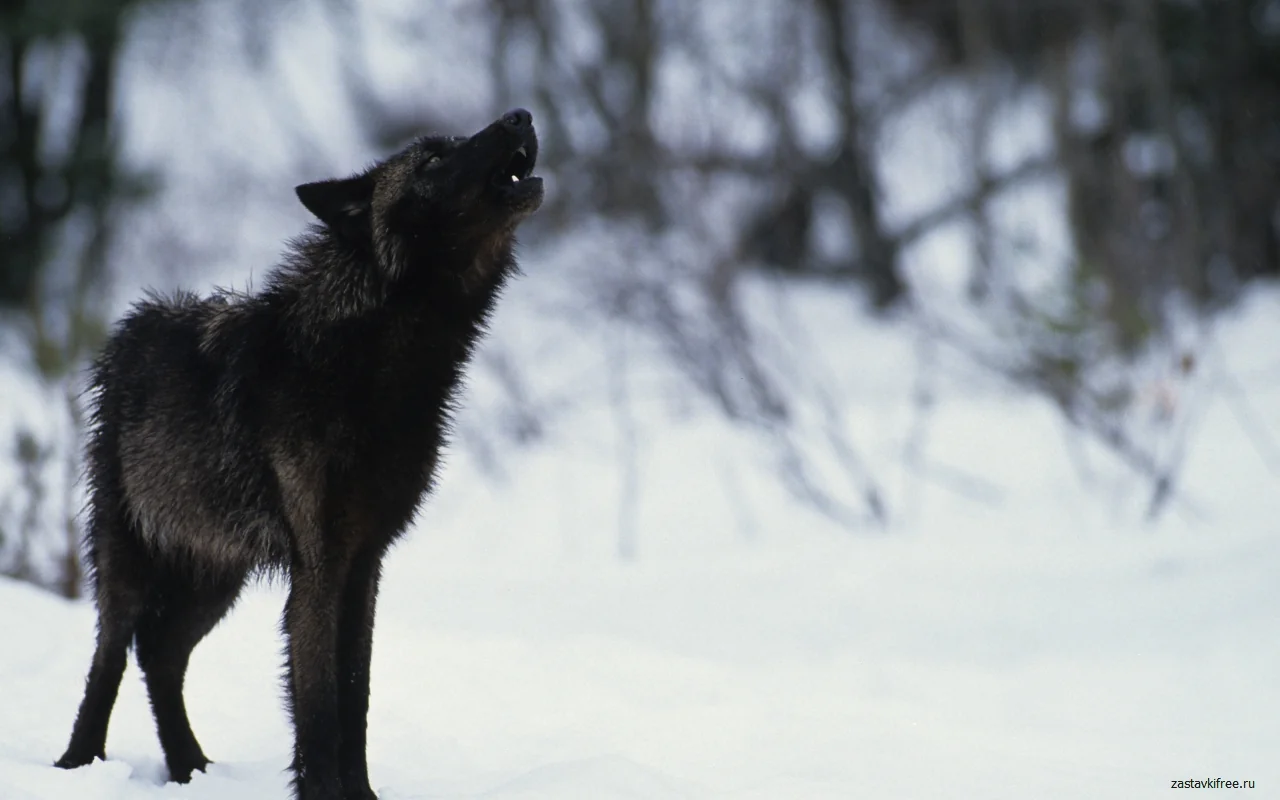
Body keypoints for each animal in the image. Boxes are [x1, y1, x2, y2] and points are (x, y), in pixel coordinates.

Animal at [53, 109, 543, 800]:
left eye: (454, 144)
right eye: (430, 161)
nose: (520, 116)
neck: (373, 370)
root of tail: (130, 328)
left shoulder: (365, 563)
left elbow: (355, 696)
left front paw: (360, 795)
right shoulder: (319, 565)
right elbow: (316, 708)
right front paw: (321, 792)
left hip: (216, 573)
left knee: (161, 652)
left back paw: (189, 768)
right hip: (128, 562)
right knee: (112, 655)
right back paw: (79, 764)